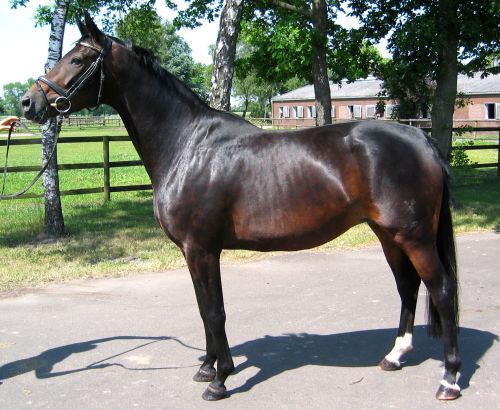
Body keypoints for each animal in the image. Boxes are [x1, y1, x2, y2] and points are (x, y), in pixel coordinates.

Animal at [20, 12, 461, 401]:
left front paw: (220, 380)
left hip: (414, 237)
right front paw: (206, 368)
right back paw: (395, 356)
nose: (28, 102)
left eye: (77, 59)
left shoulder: (201, 249)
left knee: (441, 288)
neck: (188, 146)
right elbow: (203, 309)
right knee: (408, 286)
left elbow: (215, 311)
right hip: (388, 234)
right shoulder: (192, 252)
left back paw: (449, 380)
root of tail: (421, 140)